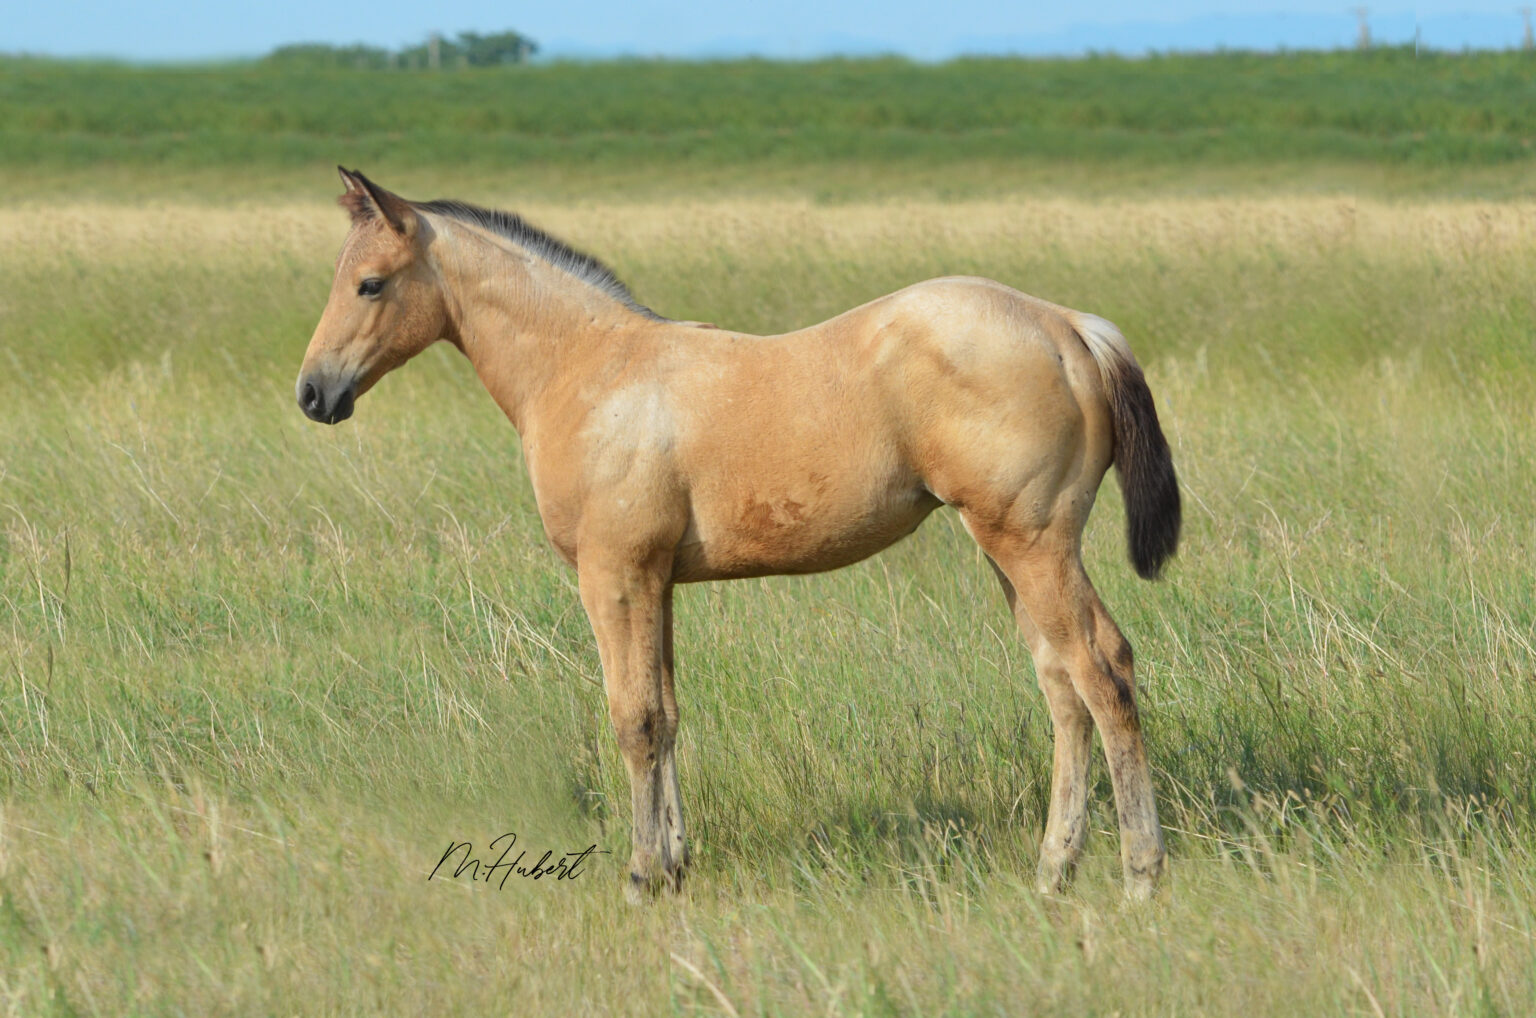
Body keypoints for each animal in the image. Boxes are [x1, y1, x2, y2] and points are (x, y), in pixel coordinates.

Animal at [296, 168, 1182, 901]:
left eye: (370, 284)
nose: (313, 393)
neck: (587, 370)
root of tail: (1069, 328)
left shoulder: (613, 575)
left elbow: (633, 718)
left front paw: (642, 876)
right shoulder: (656, 581)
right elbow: (667, 712)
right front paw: (675, 862)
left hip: (1033, 547)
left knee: (1102, 670)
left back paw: (1140, 873)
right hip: (1009, 550)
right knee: (1061, 685)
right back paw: (1054, 869)